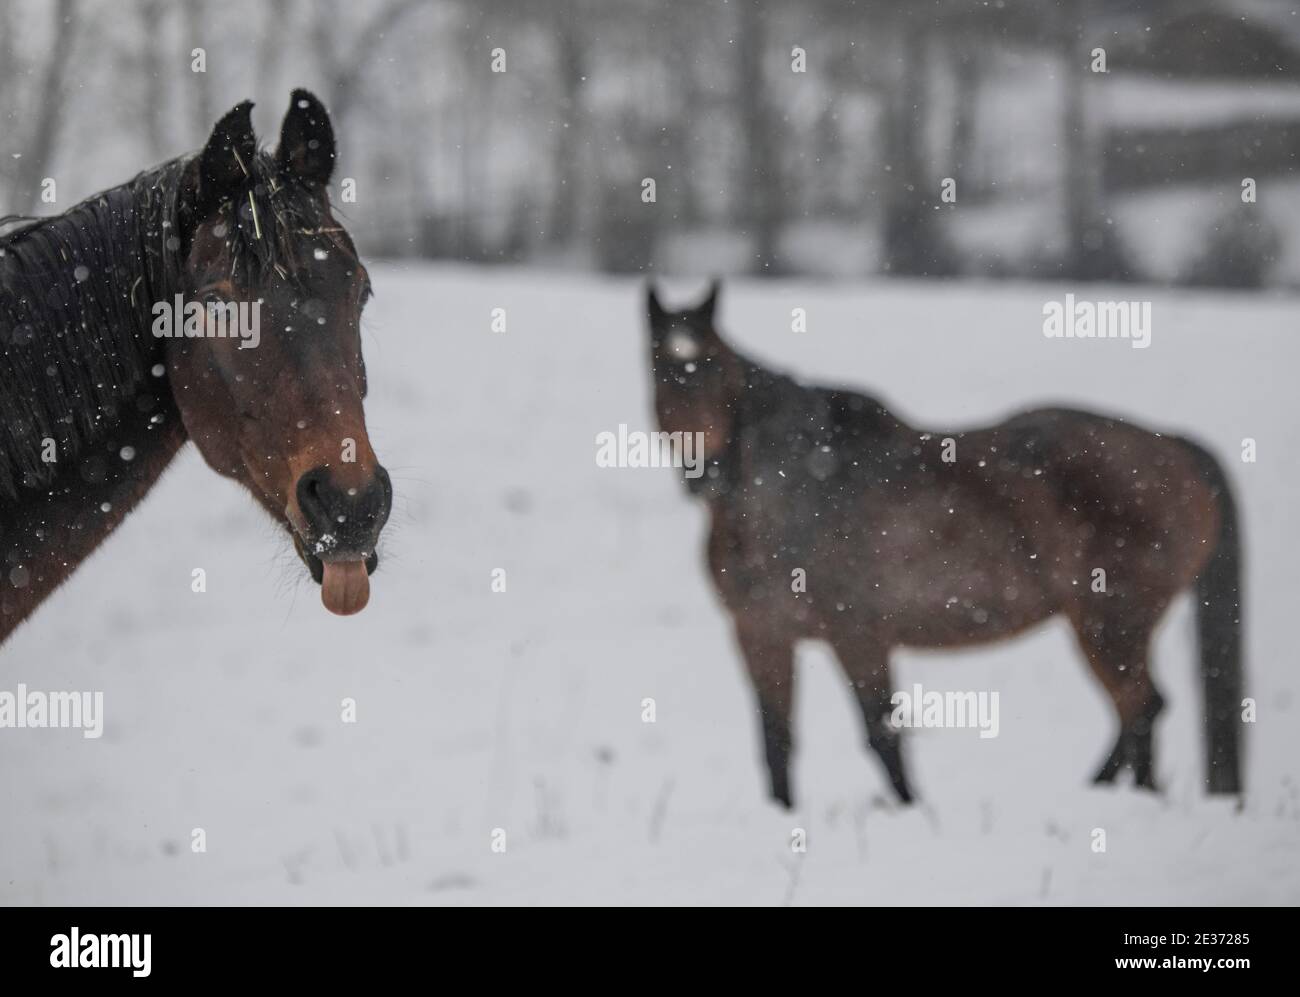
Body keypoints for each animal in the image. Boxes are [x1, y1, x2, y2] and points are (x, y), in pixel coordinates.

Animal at [646, 281, 1242, 808]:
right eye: (660, 375)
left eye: (716, 367)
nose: (706, 474)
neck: (794, 489)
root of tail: (1176, 449)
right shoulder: (760, 634)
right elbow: (776, 741)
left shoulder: (858, 634)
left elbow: (881, 733)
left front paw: (914, 813)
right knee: (1138, 712)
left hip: (1112, 623)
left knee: (1142, 709)